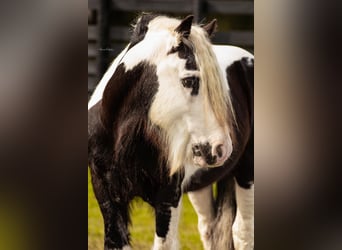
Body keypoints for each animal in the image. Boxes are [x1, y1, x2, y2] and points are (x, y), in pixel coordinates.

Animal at [88, 14, 254, 250]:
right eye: (189, 80)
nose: (221, 148)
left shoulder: (168, 197)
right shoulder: (105, 193)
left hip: (247, 171)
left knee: (242, 231)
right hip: (200, 184)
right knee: (210, 228)